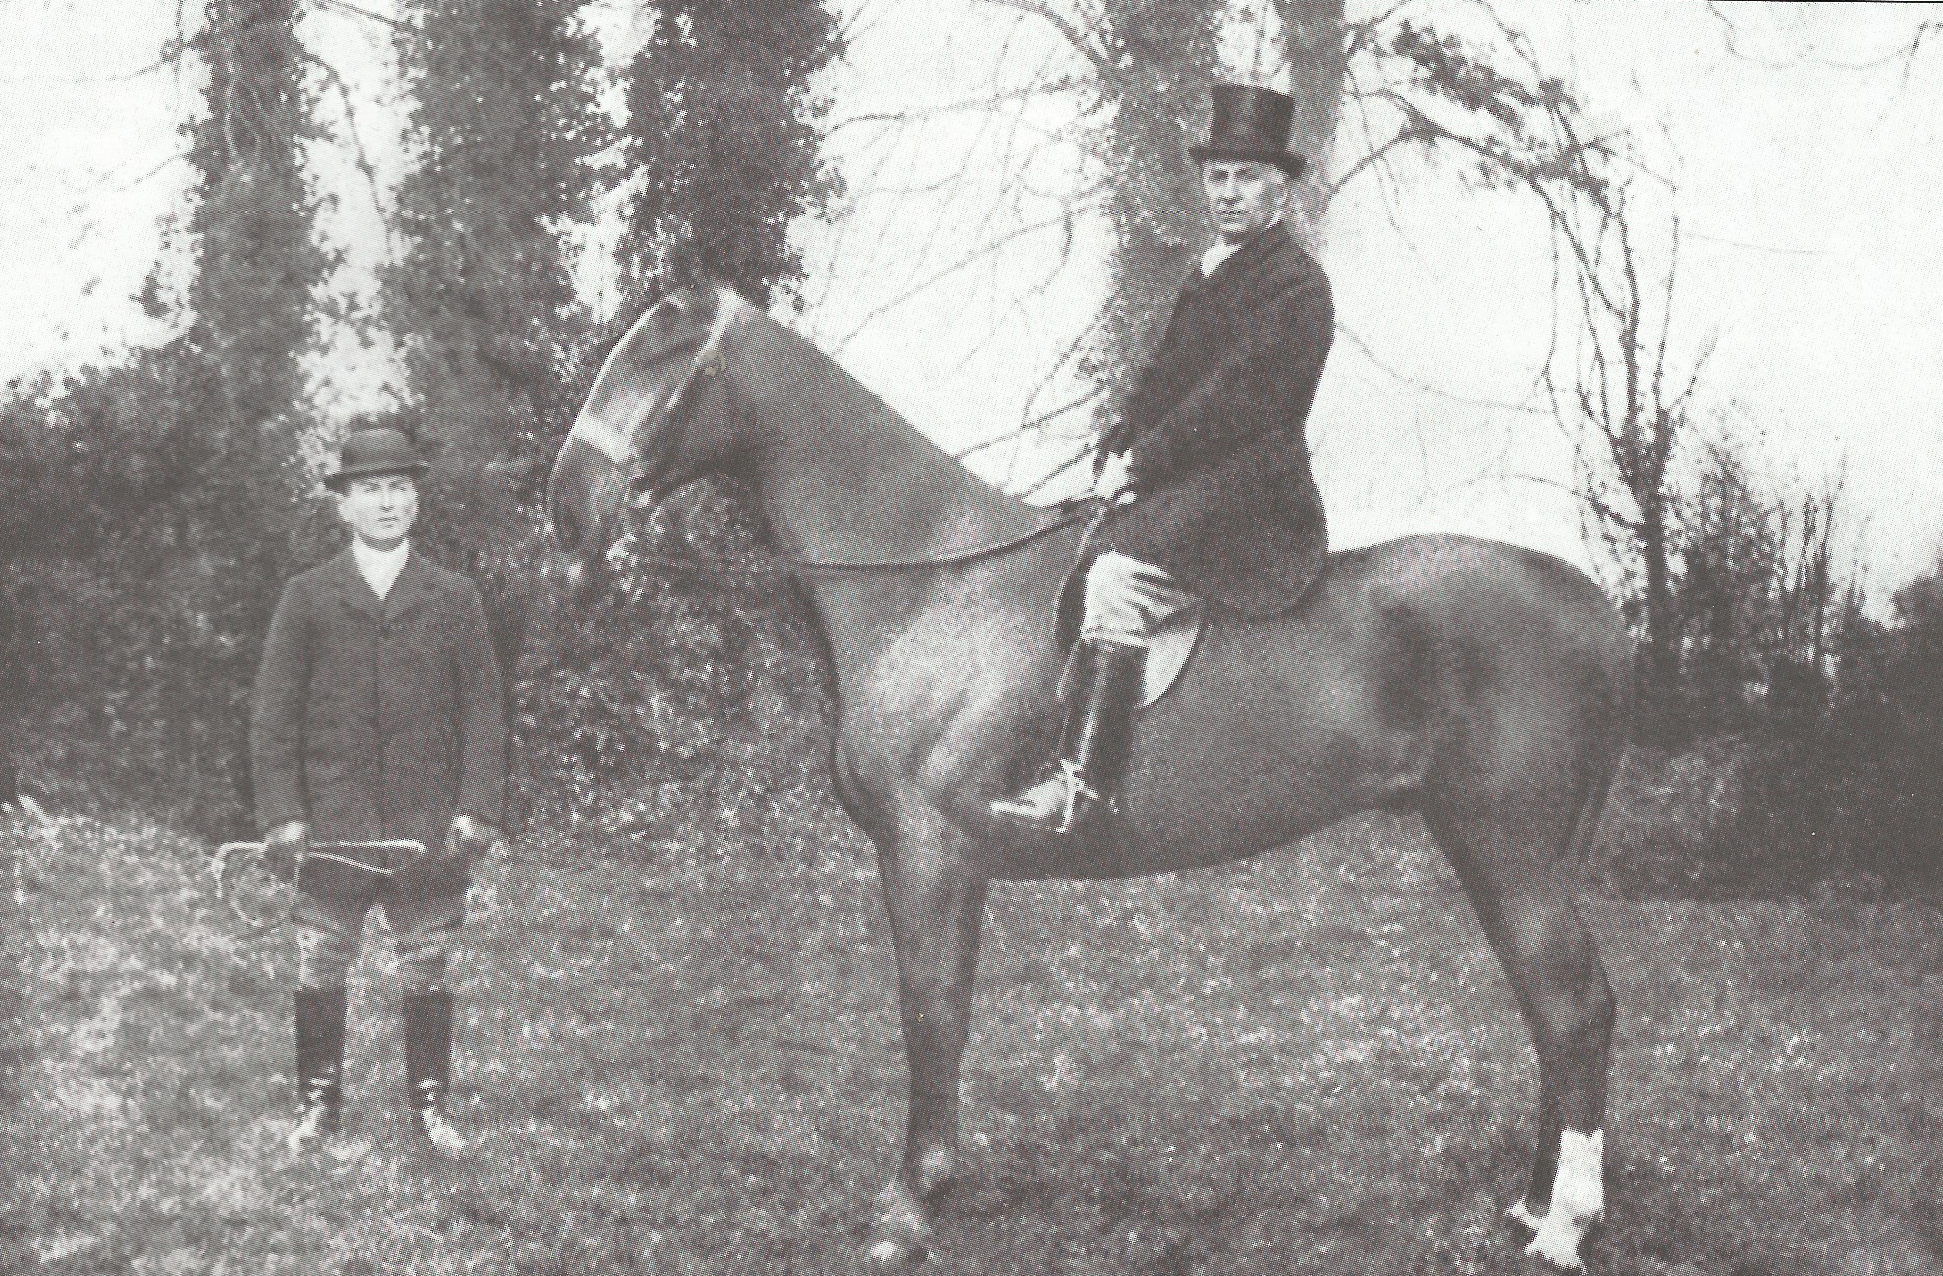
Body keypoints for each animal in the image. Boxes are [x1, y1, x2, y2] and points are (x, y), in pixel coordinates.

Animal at [547, 282, 1634, 1270]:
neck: (932, 576)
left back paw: (1563, 1224)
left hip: (1506, 849)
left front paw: (908, 1206)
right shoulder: (950, 864)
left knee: (1572, 1006)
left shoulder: (925, 854)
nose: (567, 511)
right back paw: (1533, 1206)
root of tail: (1591, 604)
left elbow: (928, 1013)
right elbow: (946, 1012)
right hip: (1485, 849)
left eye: (658, 355)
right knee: (1550, 1010)